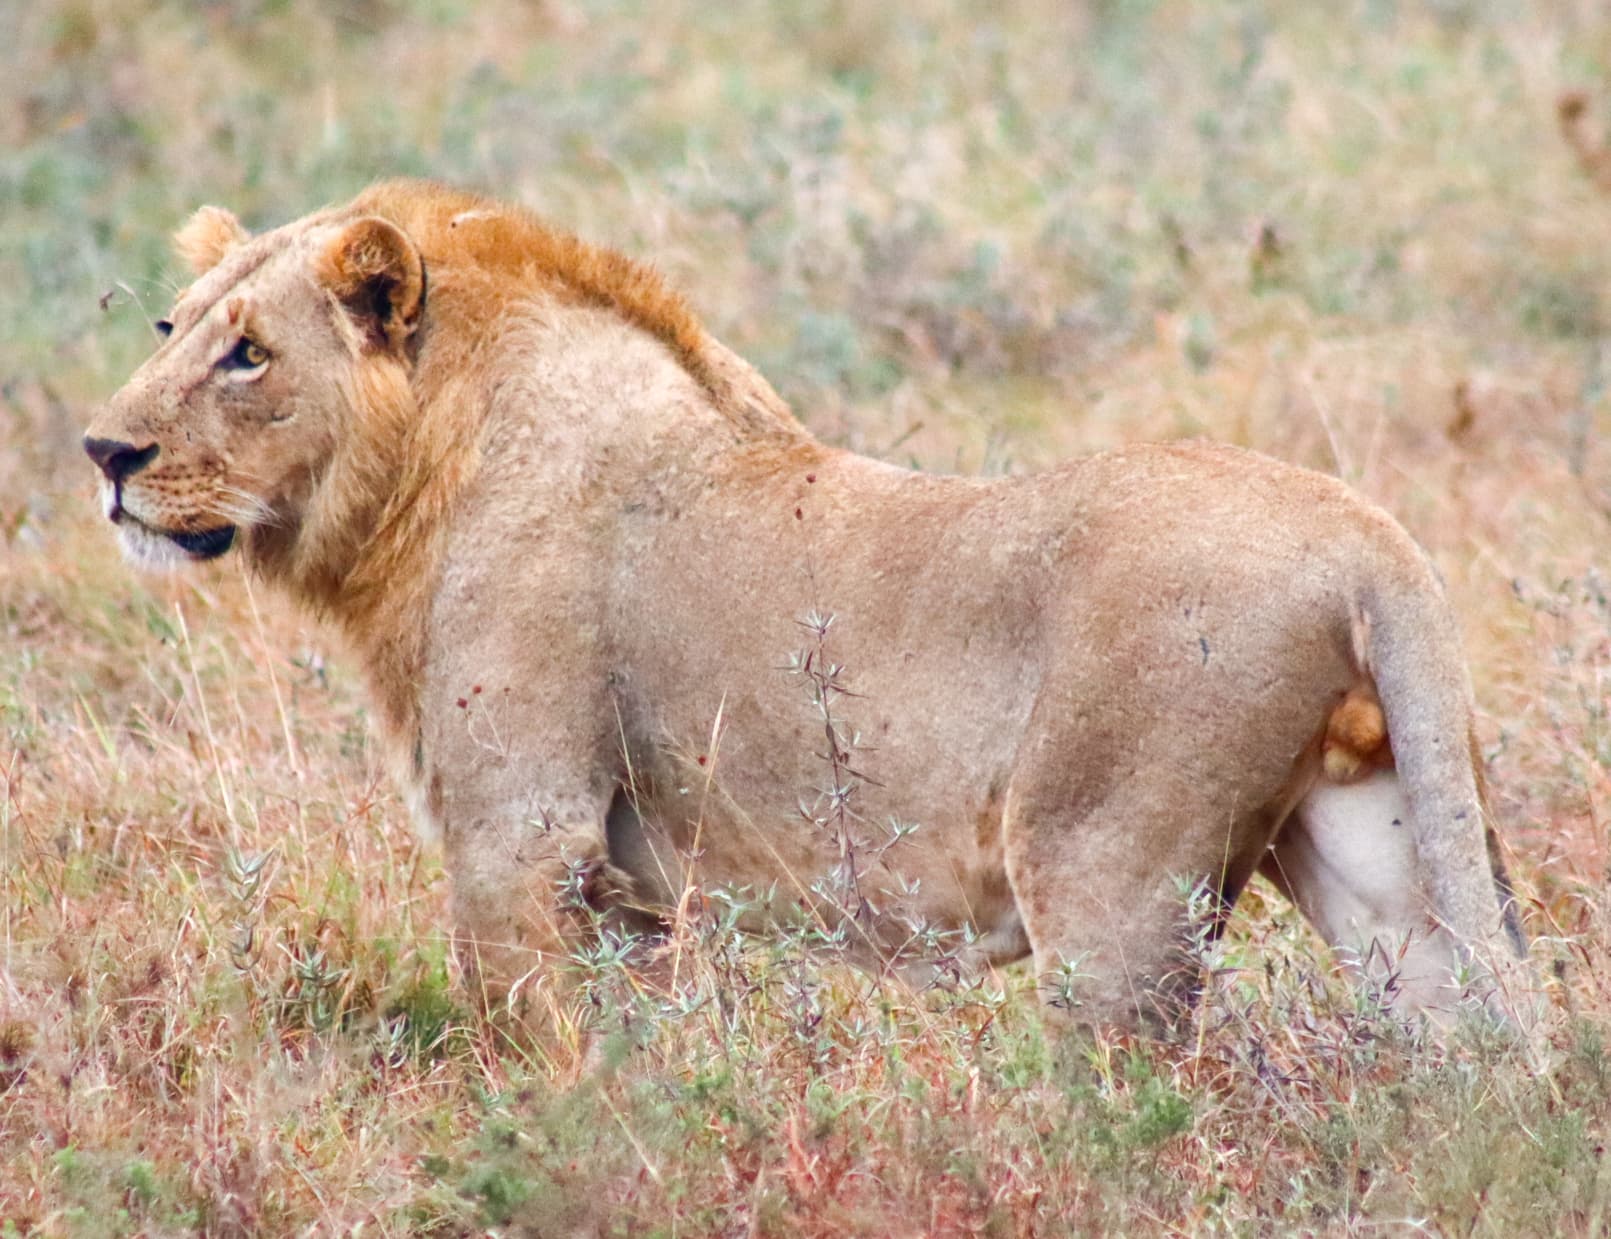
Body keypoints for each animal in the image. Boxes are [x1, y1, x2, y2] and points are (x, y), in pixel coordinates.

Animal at [85, 180, 1527, 1033]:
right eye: (170, 325)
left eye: (248, 353)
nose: (103, 451)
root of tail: (1370, 536)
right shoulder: (628, 893)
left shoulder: (522, 838)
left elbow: (537, 1061)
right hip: (1378, 854)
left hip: (1108, 880)